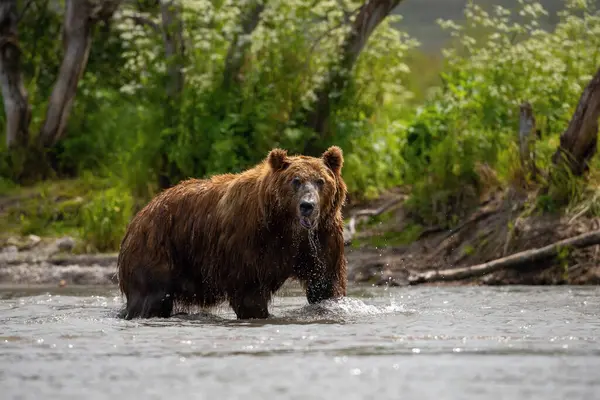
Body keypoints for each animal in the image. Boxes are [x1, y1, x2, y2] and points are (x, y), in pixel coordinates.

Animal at [116, 146, 346, 318]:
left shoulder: (321, 238)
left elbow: (325, 284)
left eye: (321, 181)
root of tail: (140, 214)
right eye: (295, 180)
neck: (286, 227)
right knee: (150, 298)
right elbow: (249, 291)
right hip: (157, 251)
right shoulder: (250, 242)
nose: (308, 205)